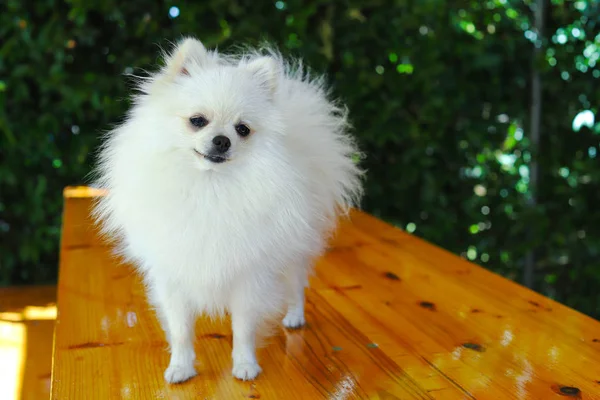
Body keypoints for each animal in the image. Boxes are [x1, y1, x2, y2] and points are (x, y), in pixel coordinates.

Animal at [91, 38, 364, 384]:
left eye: (242, 129)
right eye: (197, 120)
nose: (222, 140)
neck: (210, 188)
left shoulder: (250, 275)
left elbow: (244, 327)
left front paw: (245, 365)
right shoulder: (172, 274)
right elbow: (180, 330)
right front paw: (181, 367)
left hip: (293, 252)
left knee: (296, 286)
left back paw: (294, 316)